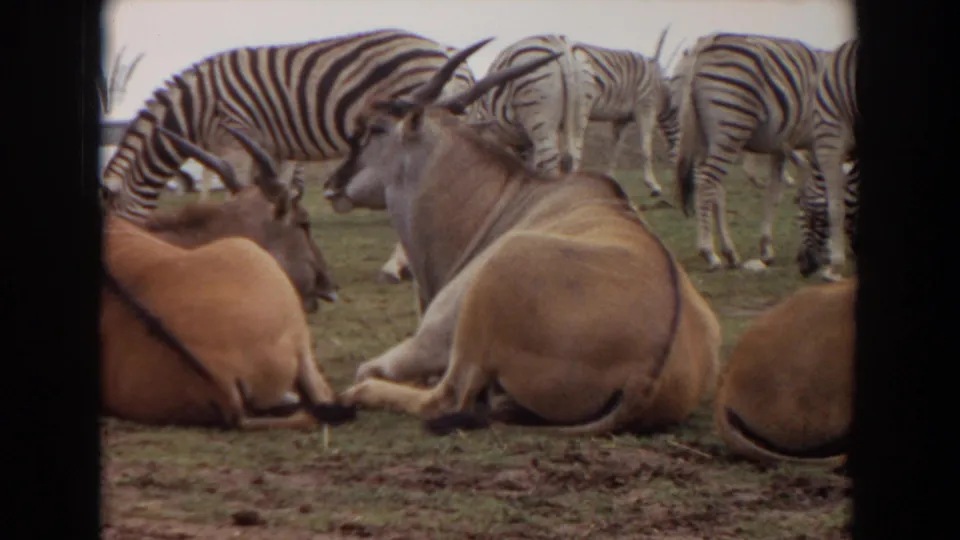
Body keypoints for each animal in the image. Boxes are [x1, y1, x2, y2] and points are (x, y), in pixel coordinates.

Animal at [101, 28, 478, 284]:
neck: (194, 106)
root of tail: (443, 52)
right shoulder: (272, 149)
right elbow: (273, 192)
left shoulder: (237, 140)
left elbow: (234, 191)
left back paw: (396, 266)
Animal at [672, 32, 831, 271]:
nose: (808, 262)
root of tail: (704, 45)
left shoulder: (781, 146)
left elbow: (774, 192)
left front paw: (766, 248)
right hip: (731, 124)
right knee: (707, 184)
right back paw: (709, 253)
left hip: (702, 136)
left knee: (714, 188)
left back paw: (730, 252)